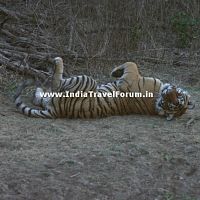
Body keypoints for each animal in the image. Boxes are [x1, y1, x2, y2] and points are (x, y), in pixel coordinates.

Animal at [13, 57, 194, 119]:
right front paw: (115, 71)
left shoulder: (130, 79)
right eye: (176, 97)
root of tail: (56, 111)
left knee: (57, 83)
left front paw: (115, 71)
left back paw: (57, 62)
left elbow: (132, 64)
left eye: (174, 103)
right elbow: (131, 64)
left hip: (86, 80)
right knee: (41, 97)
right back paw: (38, 90)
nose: (170, 91)